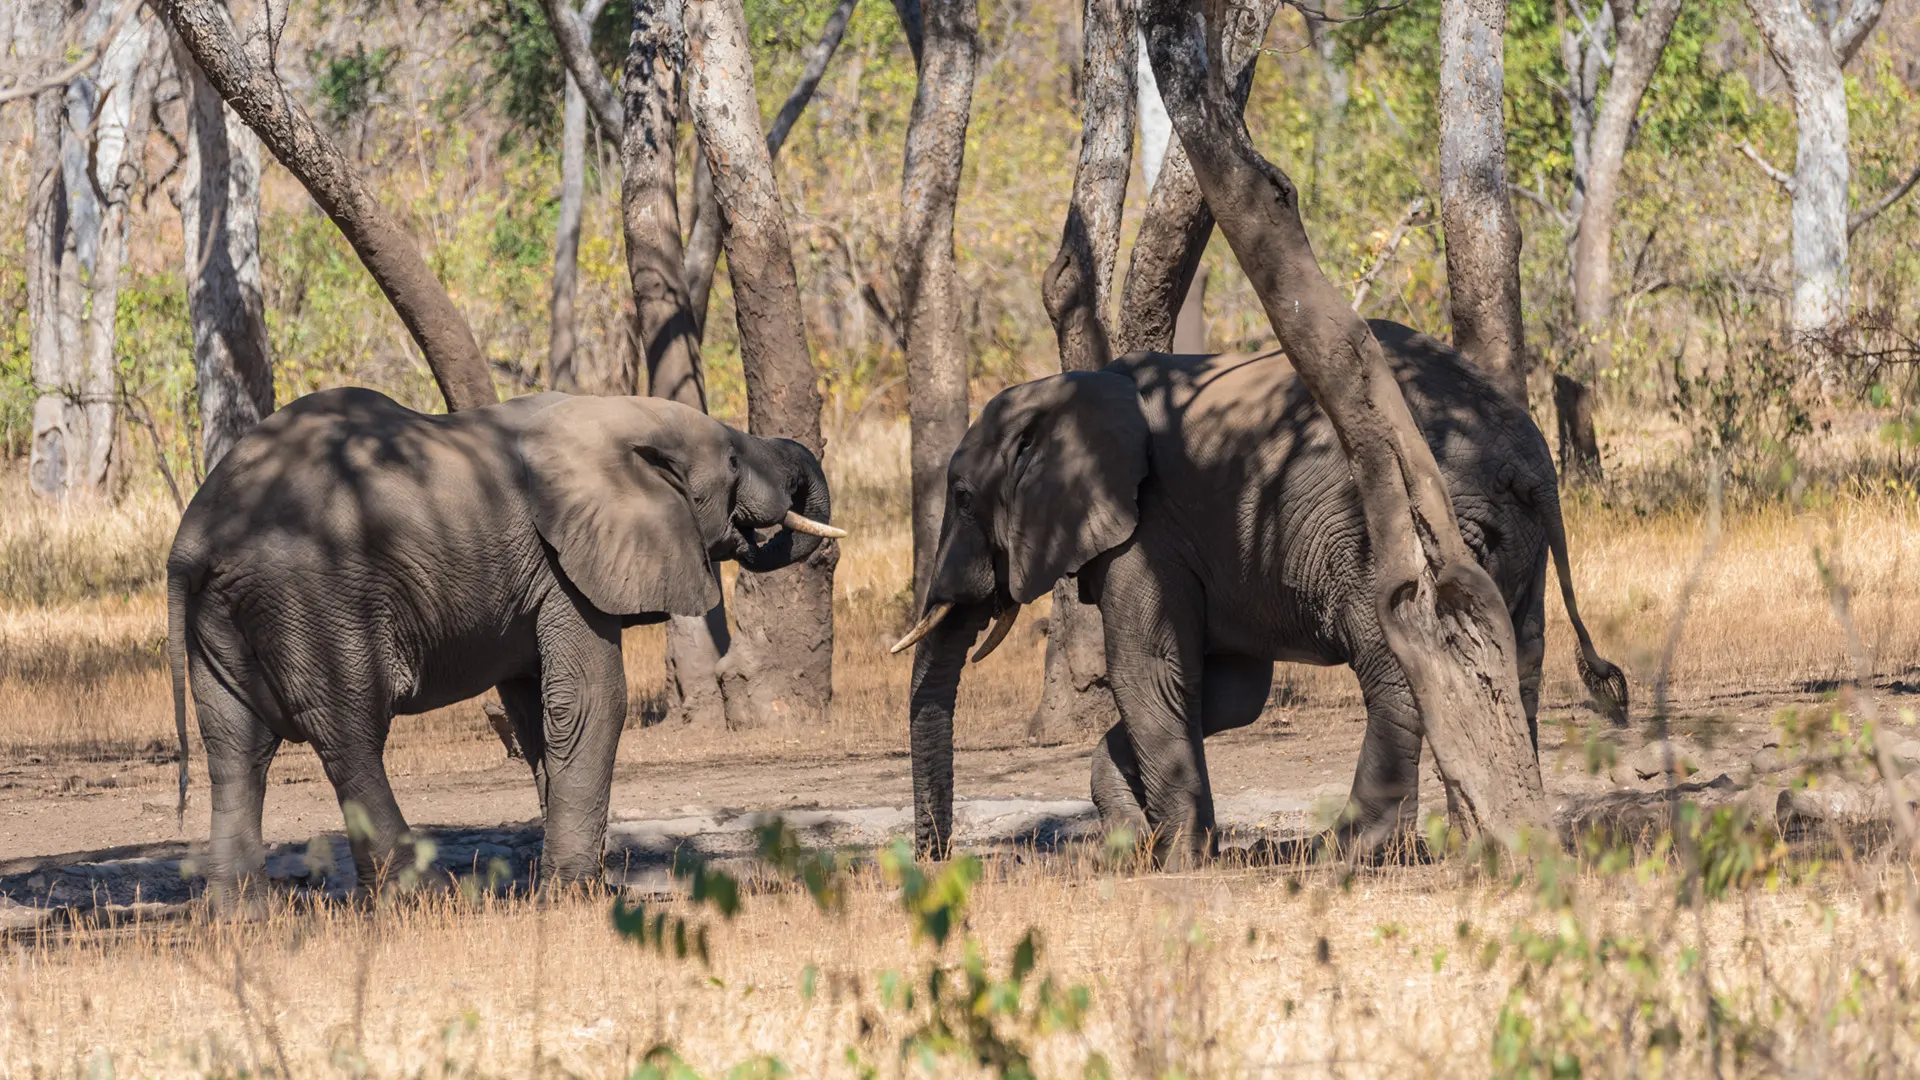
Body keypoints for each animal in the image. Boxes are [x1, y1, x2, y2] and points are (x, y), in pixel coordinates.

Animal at [165, 387, 842, 902]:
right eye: (732, 463)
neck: (609, 414)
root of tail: (194, 538)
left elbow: (539, 710)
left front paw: (581, 884)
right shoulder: (565, 565)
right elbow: (591, 701)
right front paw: (576, 897)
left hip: (222, 616)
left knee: (235, 750)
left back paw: (243, 920)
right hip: (315, 598)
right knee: (350, 736)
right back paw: (428, 901)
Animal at [897, 320, 1627, 865]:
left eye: (962, 497)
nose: (935, 860)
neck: (1069, 391)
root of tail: (1529, 464)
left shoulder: (1149, 532)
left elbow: (1150, 673)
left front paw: (1176, 861)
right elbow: (1228, 691)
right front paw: (1137, 842)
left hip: (1394, 529)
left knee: (1398, 672)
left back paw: (1352, 852)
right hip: (1510, 544)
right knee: (1510, 667)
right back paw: (1480, 841)